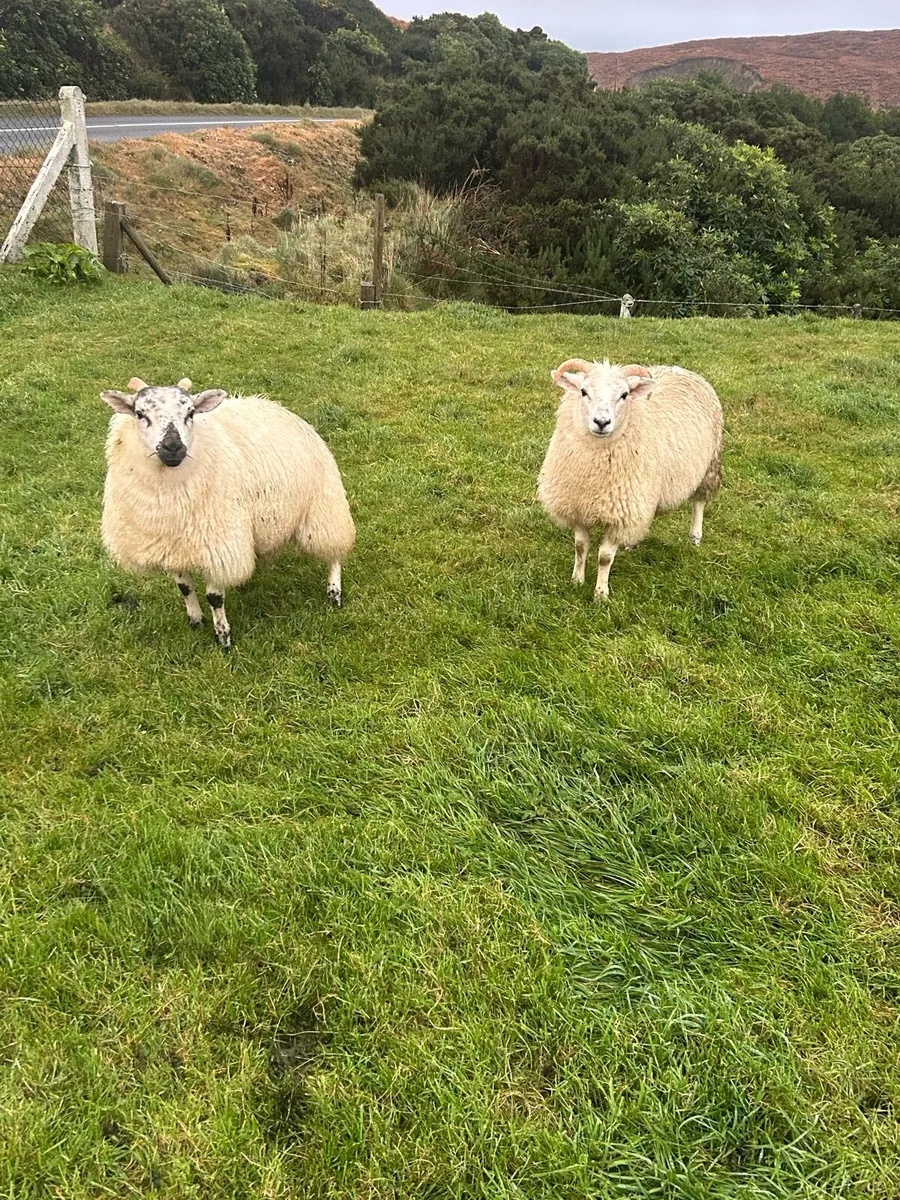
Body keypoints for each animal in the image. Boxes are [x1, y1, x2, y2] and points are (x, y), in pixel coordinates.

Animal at [100, 376, 356, 648]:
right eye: (140, 414)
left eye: (190, 413)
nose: (173, 447)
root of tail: (274, 405)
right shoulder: (174, 546)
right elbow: (185, 588)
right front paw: (195, 620)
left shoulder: (218, 544)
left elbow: (214, 597)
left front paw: (223, 637)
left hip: (323, 504)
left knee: (334, 549)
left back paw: (334, 592)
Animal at [537, 358, 723, 599]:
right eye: (583, 391)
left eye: (625, 395)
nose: (601, 422)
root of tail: (679, 369)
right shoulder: (578, 506)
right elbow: (580, 547)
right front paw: (576, 581)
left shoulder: (621, 515)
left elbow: (604, 558)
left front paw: (600, 594)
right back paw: (633, 543)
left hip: (709, 465)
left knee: (699, 503)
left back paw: (695, 537)